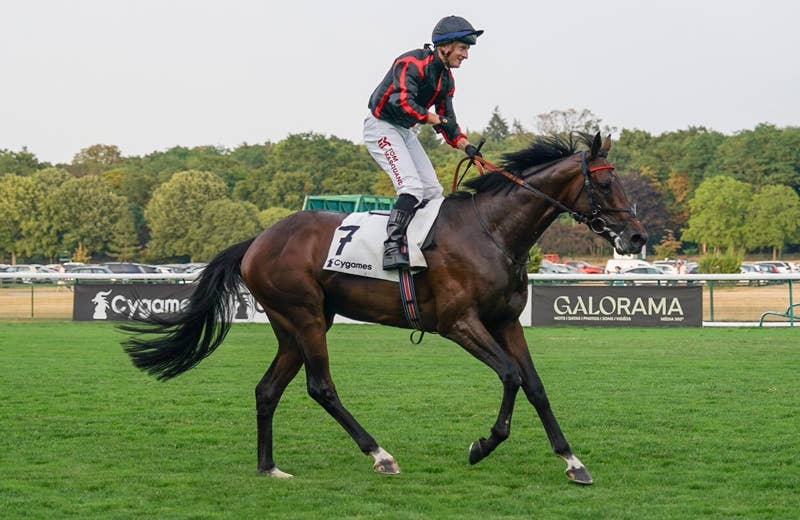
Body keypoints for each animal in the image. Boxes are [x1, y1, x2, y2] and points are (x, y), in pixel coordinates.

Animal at [121, 132, 647, 485]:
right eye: (606, 185)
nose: (637, 237)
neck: (490, 230)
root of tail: (257, 240)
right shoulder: (458, 323)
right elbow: (511, 376)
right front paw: (482, 445)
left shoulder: (504, 320)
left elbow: (535, 385)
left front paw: (573, 461)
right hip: (305, 316)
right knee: (320, 387)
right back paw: (379, 454)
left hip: (295, 324)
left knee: (268, 389)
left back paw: (269, 467)